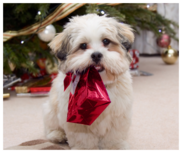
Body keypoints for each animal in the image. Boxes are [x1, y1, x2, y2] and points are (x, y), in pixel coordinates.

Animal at [42, 13, 134, 149]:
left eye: (106, 41)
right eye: (83, 46)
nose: (96, 55)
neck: (98, 84)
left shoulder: (118, 114)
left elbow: (113, 136)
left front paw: (114, 146)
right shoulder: (77, 119)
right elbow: (83, 138)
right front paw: (84, 148)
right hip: (50, 110)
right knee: (51, 126)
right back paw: (57, 134)